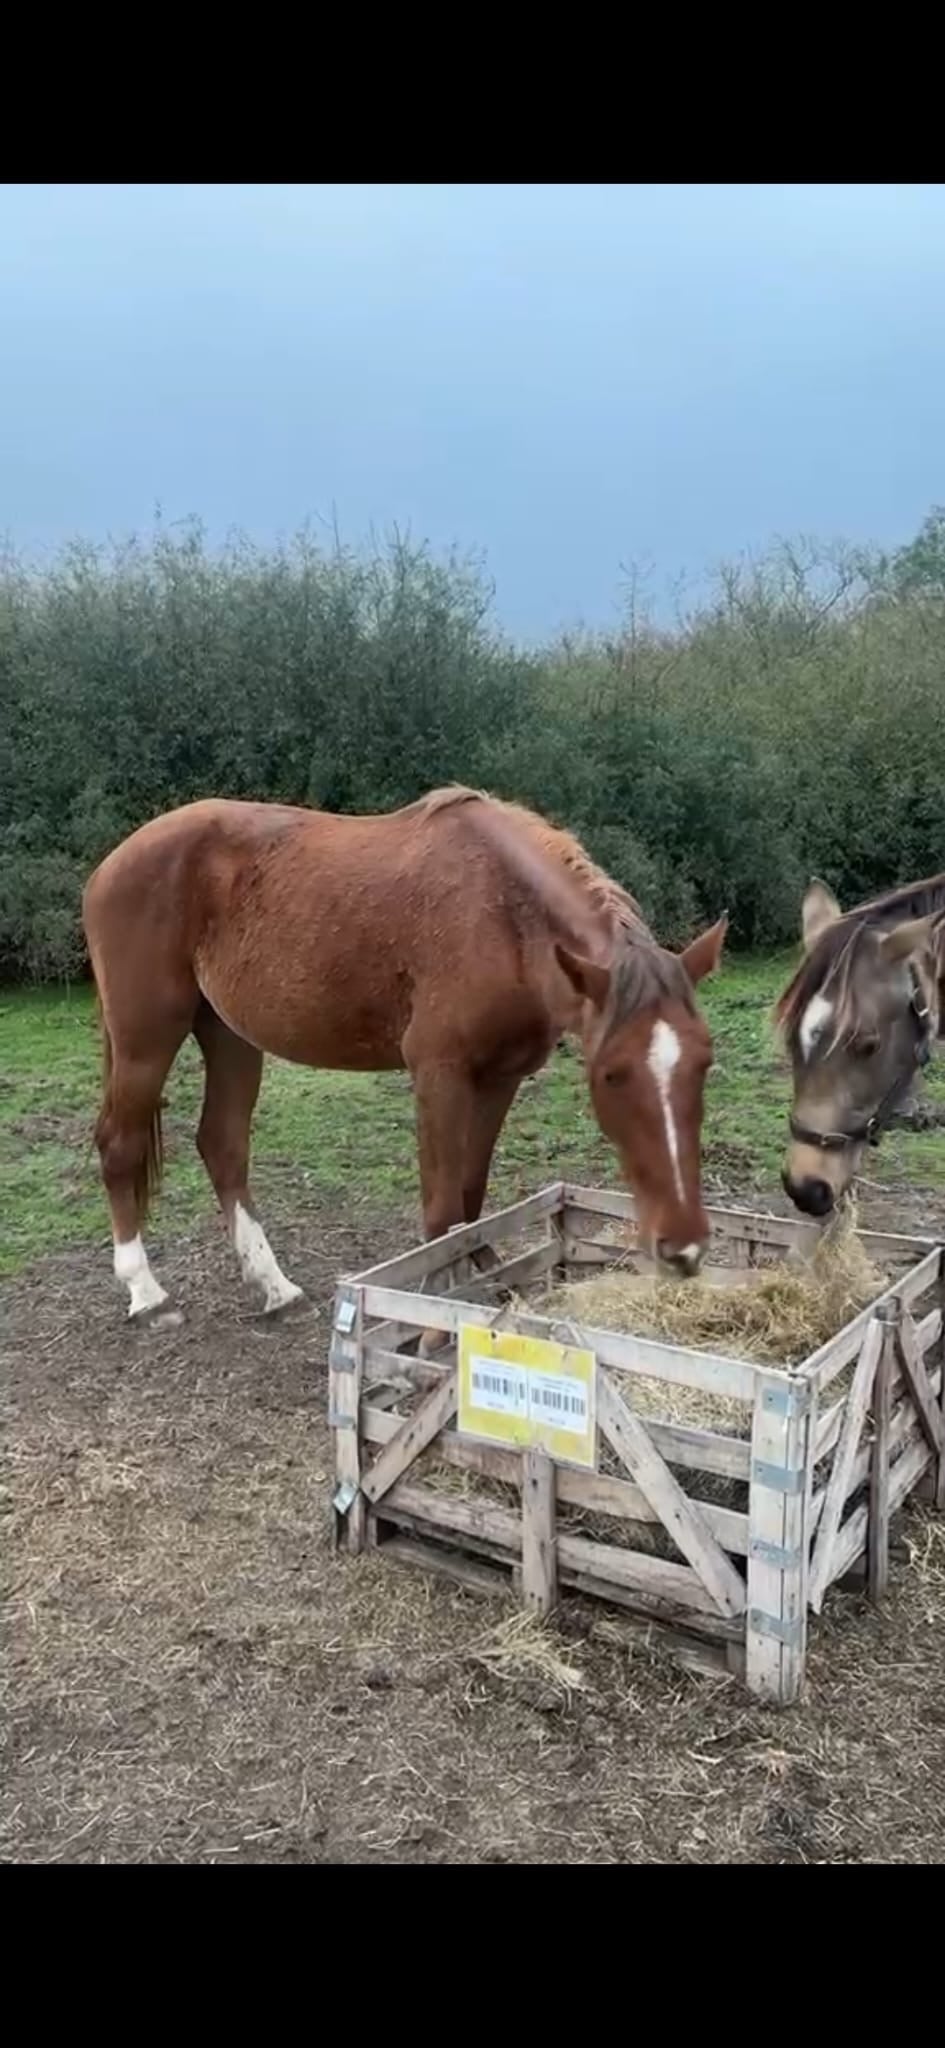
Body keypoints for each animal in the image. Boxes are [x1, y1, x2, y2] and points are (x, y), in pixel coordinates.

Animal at [82, 785, 727, 1325]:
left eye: (704, 1064)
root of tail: (111, 864)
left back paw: (274, 1286)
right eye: (611, 1074)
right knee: (120, 1144)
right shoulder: (439, 1073)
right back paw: (146, 1292)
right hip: (146, 1037)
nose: (684, 1247)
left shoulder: (500, 1077)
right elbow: (441, 1209)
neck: (501, 913)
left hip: (230, 1035)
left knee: (223, 1145)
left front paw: (484, 1274)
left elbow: (471, 1194)